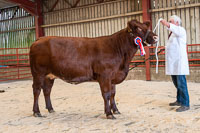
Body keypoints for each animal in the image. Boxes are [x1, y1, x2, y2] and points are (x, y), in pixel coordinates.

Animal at [29, 19, 158, 119]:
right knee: (37, 90)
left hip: (49, 75)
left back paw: (50, 109)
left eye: (146, 27)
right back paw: (37, 112)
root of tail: (39, 39)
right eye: (139, 29)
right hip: (38, 73)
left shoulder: (113, 77)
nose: (156, 37)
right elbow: (106, 94)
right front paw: (109, 113)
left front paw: (115, 110)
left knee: (47, 90)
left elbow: (113, 94)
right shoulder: (105, 75)